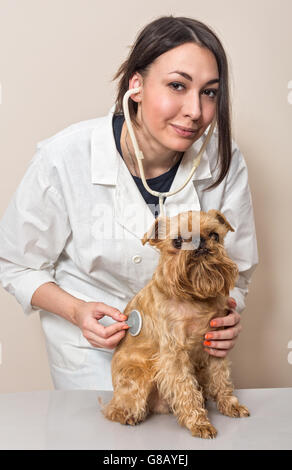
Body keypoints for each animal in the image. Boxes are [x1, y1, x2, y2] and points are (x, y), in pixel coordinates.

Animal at [102, 209, 249, 436]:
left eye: (214, 235)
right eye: (178, 241)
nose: (200, 241)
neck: (195, 296)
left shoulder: (215, 347)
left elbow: (221, 378)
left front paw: (230, 404)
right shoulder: (174, 354)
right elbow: (185, 388)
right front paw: (199, 423)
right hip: (138, 374)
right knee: (115, 407)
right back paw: (127, 415)